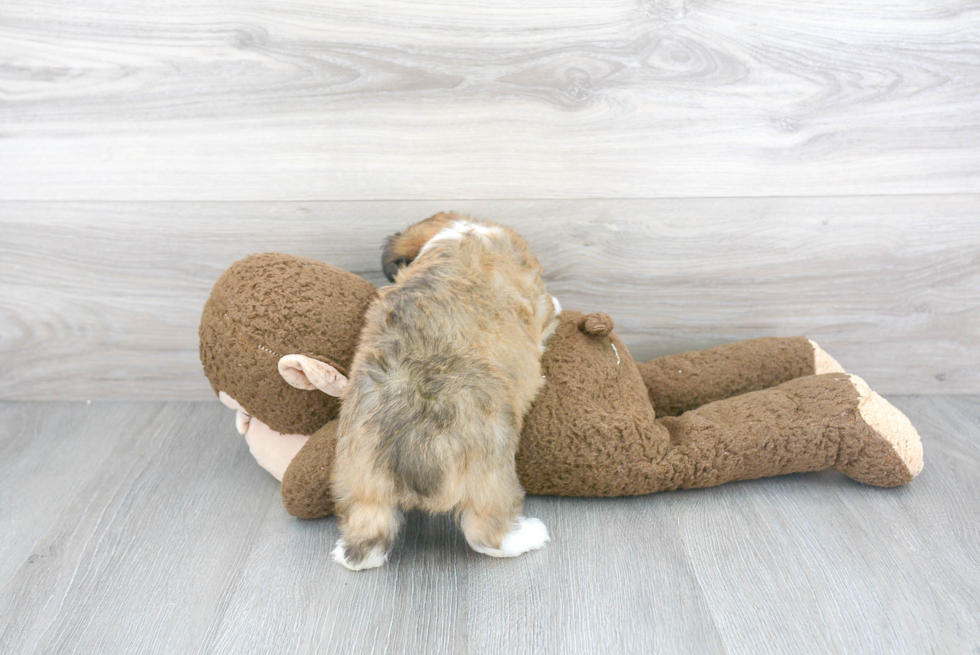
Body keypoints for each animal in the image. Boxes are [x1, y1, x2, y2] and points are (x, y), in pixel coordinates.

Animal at [334, 214, 560, 568]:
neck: (461, 234)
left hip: (359, 482)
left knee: (364, 538)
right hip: (492, 468)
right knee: (484, 531)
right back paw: (527, 536)